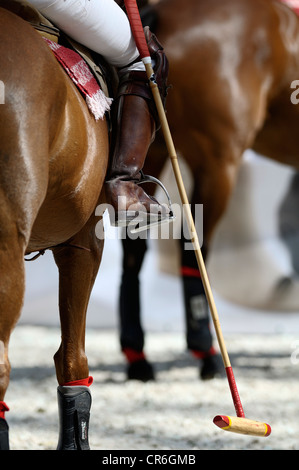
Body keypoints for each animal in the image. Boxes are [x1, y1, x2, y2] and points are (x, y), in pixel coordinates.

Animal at [119, 0, 299, 382]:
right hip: (218, 165)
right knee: (192, 250)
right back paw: (208, 352)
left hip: (153, 152)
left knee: (133, 249)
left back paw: (137, 357)